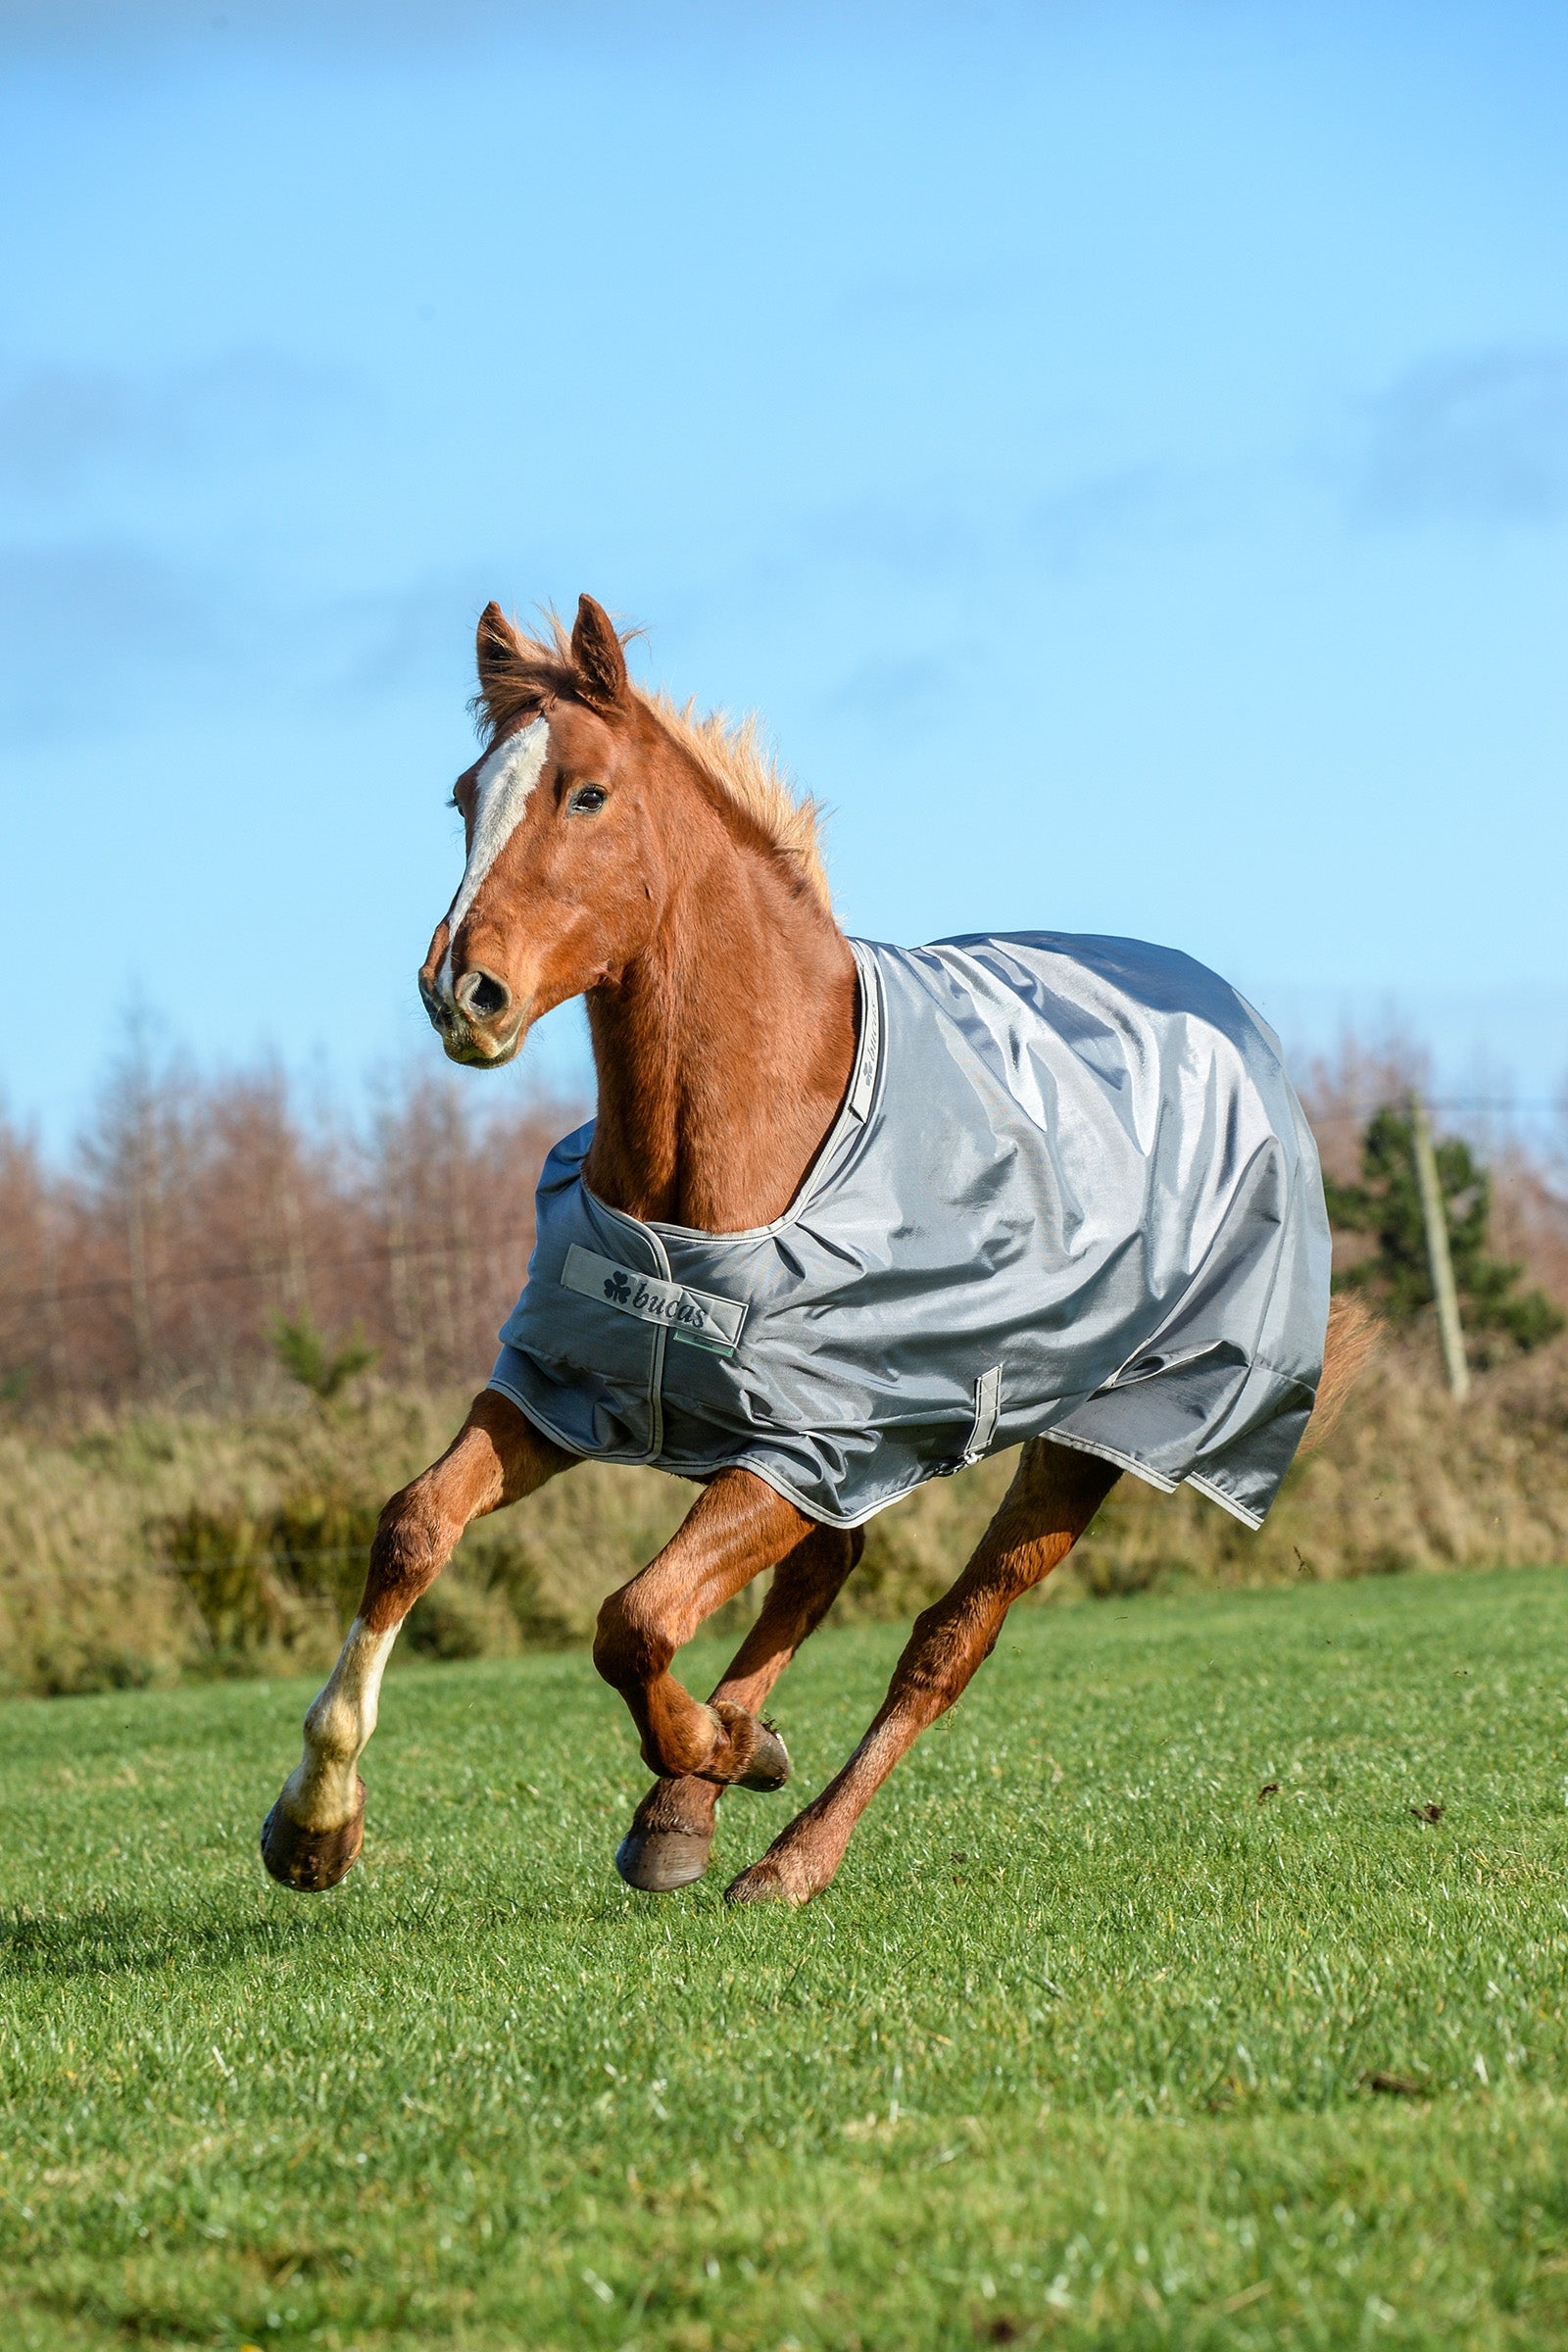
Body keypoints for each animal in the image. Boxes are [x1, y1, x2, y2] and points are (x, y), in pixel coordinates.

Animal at [261, 594, 1377, 1906]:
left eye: (586, 794)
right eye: (461, 794)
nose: (460, 992)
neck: (729, 1158)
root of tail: (1232, 1022)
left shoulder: (805, 1442)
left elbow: (633, 1619)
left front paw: (726, 1747)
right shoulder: (578, 1389)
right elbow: (414, 1527)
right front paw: (314, 1825)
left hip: (1081, 1443)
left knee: (945, 1641)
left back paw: (787, 1851)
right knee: (823, 1571)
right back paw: (682, 1812)